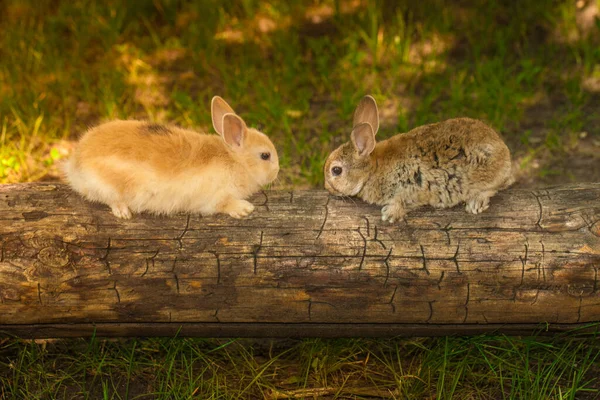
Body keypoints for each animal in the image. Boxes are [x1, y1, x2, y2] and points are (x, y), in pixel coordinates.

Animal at [64, 96, 280, 219]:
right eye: (265, 155)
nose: (277, 172)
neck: (236, 161)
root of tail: (75, 163)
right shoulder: (215, 197)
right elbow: (224, 204)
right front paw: (245, 209)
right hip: (108, 186)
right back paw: (123, 213)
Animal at [326, 95, 512, 223]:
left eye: (336, 170)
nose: (327, 188)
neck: (373, 169)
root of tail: (504, 151)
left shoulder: (411, 185)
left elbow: (402, 201)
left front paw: (389, 215)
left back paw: (475, 204)